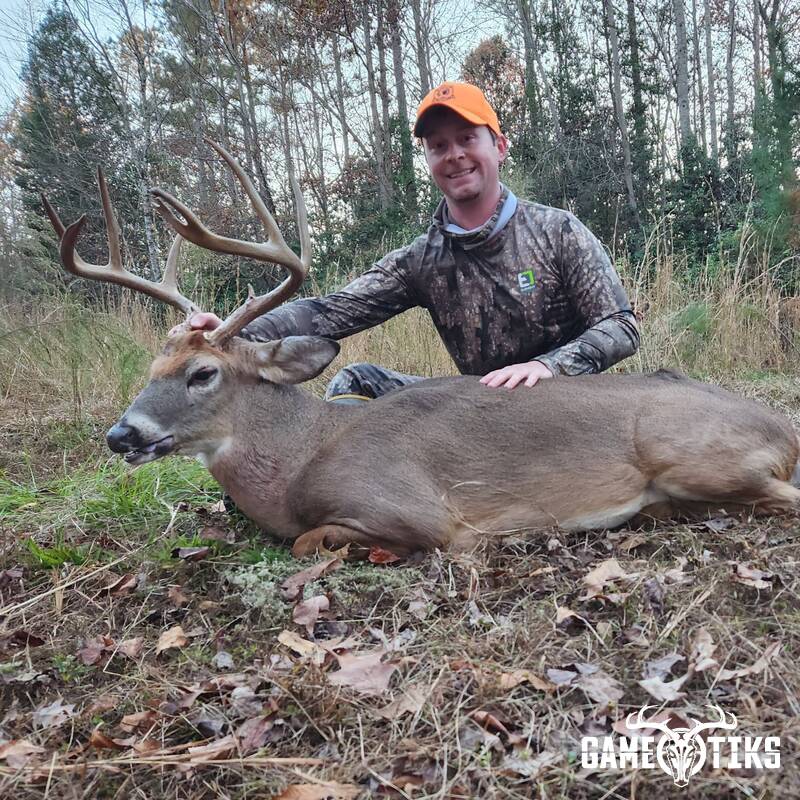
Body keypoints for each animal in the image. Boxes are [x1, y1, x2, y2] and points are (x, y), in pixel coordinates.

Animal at [42, 141, 800, 558]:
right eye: (152, 368)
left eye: (202, 373)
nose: (120, 434)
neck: (297, 462)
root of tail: (781, 426)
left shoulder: (409, 509)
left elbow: (311, 539)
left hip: (689, 452)